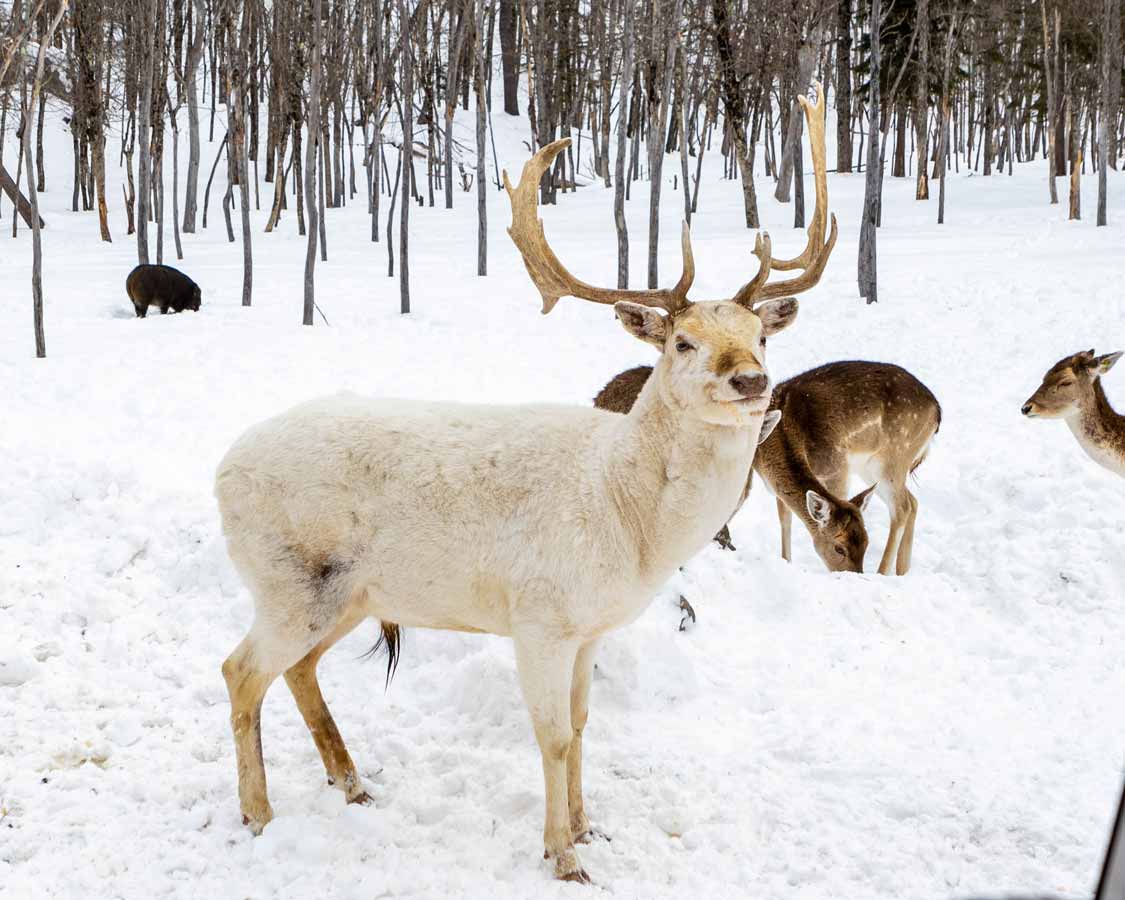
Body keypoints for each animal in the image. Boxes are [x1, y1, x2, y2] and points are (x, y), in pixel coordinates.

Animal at [214, 87, 837, 882]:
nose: (752, 380)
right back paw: (258, 814)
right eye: (681, 341)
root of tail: (220, 468)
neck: (632, 524)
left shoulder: (589, 628)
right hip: (288, 580)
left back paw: (351, 784)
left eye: (762, 336)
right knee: (239, 670)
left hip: (350, 594)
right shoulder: (539, 616)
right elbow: (552, 736)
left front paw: (589, 828)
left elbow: (582, 723)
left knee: (297, 671)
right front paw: (562, 855)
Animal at [598, 360, 940, 576]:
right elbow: (785, 517)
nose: (855, 575)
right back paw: (899, 570)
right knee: (911, 503)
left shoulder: (836, 467)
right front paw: (786, 561)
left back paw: (887, 571)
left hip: (892, 457)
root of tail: (937, 410)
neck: (784, 438)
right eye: (840, 548)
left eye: (866, 543)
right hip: (882, 464)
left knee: (903, 505)